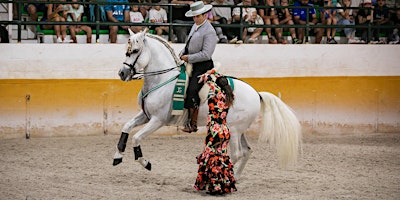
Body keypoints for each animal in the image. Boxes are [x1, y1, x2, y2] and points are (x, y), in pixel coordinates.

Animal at [111, 29, 300, 178]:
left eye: (135, 50)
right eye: (127, 51)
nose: (122, 73)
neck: (163, 79)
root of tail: (256, 94)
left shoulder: (158, 120)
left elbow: (136, 137)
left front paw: (145, 162)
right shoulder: (146, 115)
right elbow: (127, 127)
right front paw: (117, 156)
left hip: (235, 130)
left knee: (237, 153)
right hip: (240, 130)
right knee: (247, 151)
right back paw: (236, 178)